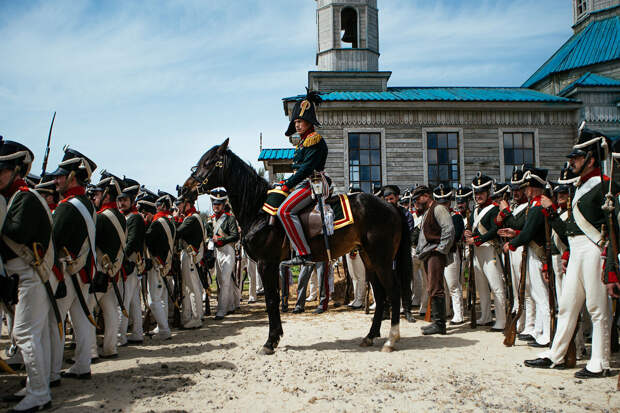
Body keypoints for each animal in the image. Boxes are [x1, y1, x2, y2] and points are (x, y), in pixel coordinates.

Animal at [183, 140, 412, 352]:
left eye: (208, 163)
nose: (185, 188)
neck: (258, 210)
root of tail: (391, 206)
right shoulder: (272, 265)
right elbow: (274, 299)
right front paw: (276, 336)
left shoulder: (266, 263)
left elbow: (272, 300)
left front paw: (270, 341)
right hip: (368, 258)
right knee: (380, 294)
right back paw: (371, 336)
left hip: (382, 260)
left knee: (393, 291)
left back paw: (391, 339)